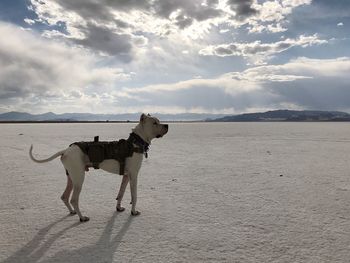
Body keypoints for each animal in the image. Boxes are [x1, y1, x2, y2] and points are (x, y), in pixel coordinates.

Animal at [28, 114, 168, 223]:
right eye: (155, 123)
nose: (167, 125)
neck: (135, 143)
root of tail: (66, 150)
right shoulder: (134, 175)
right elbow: (134, 196)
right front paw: (133, 212)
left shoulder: (126, 176)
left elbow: (121, 193)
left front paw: (119, 208)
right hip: (79, 178)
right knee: (74, 199)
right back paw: (82, 217)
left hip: (71, 178)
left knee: (64, 196)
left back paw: (72, 212)